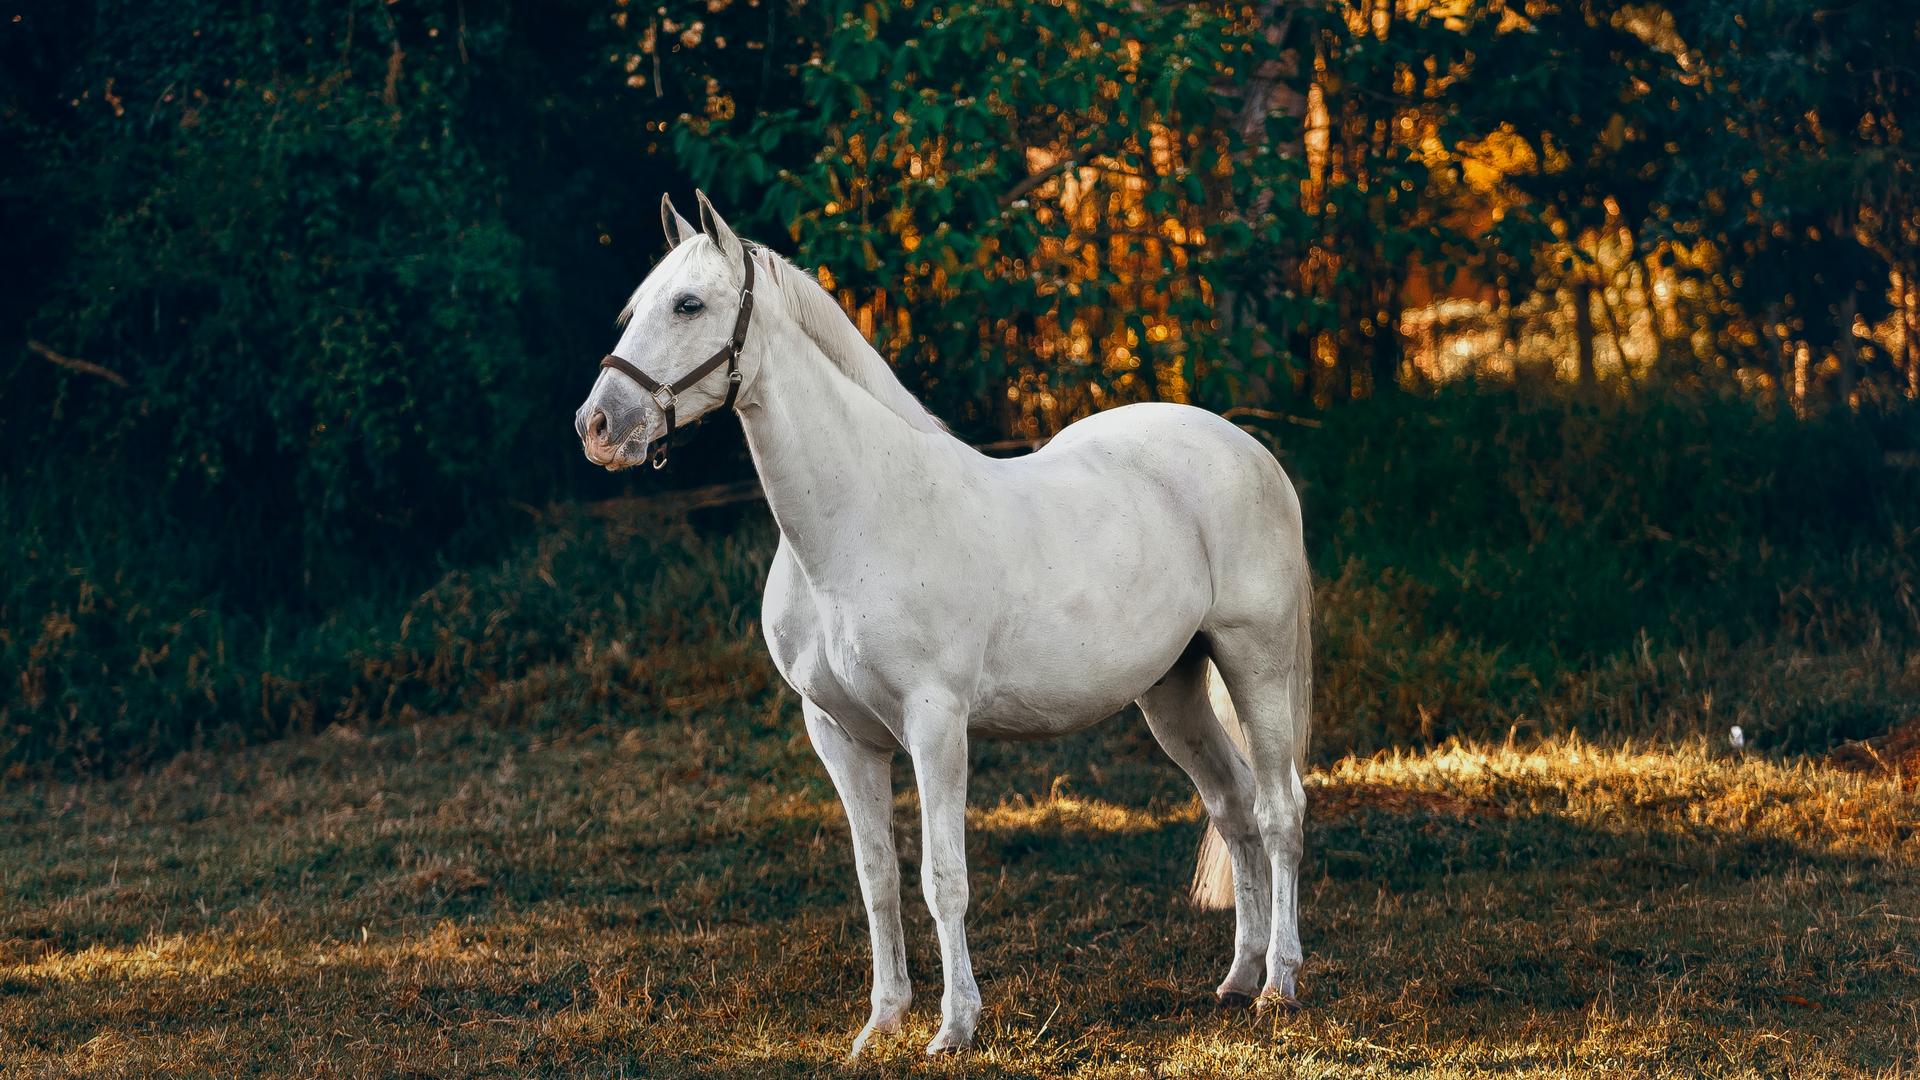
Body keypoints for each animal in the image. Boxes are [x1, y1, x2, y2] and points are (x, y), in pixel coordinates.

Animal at [576, 191, 1313, 1053]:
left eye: (689, 304)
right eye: (637, 308)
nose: (597, 426)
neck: (858, 520)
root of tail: (1249, 450)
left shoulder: (936, 724)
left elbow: (942, 879)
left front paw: (954, 1026)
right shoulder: (839, 735)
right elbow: (877, 880)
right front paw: (882, 1022)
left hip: (1254, 661)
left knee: (1278, 810)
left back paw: (1278, 985)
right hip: (1172, 691)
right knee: (1232, 807)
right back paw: (1237, 978)